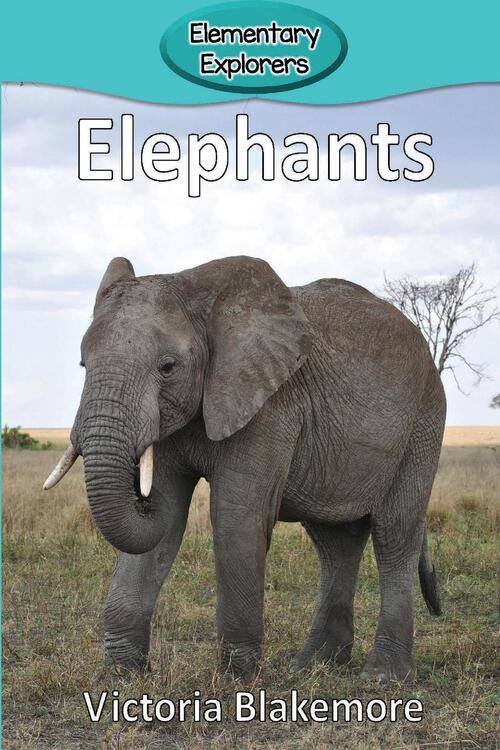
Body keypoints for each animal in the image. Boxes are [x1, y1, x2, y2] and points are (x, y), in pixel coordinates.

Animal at [44, 255, 445, 682]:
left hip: (423, 422)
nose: (138, 489)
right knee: (335, 543)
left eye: (168, 367)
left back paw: (384, 676)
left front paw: (236, 680)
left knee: (394, 533)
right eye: (83, 364)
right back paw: (310, 666)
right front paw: (120, 676)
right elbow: (167, 517)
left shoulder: (269, 405)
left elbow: (235, 517)